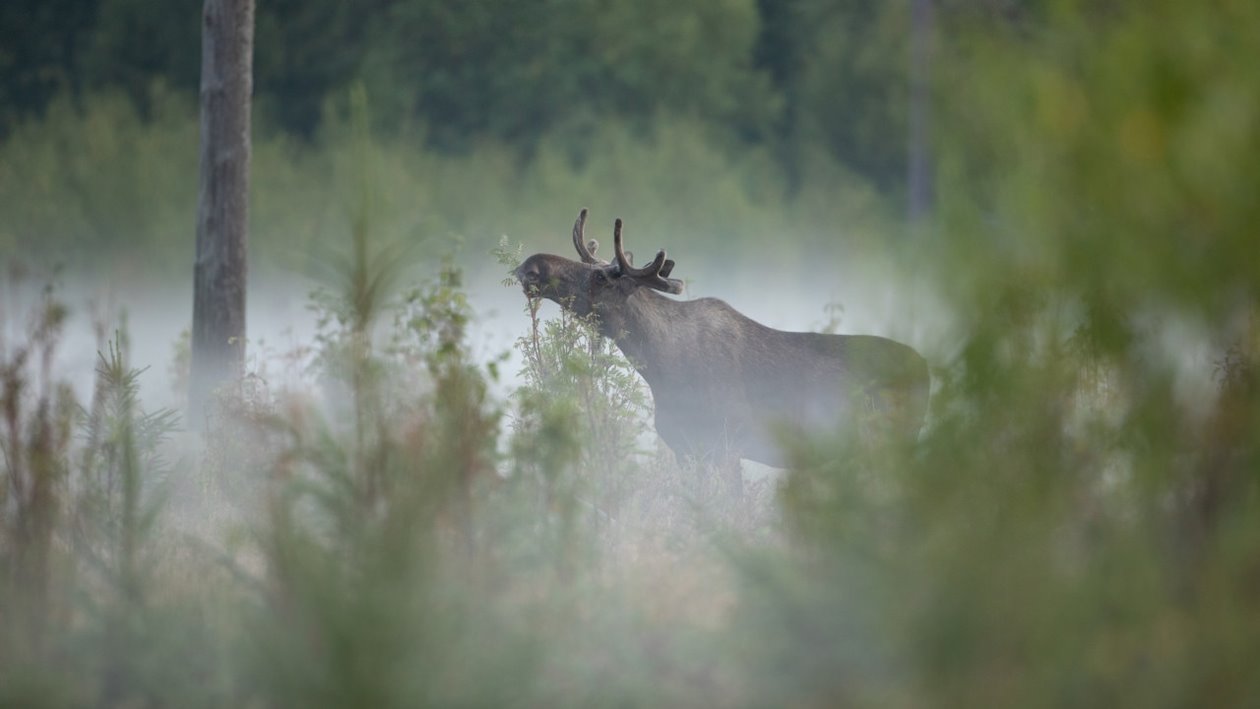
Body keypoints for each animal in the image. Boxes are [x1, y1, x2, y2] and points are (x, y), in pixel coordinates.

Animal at [514, 209, 937, 465]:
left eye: (601, 277)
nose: (530, 266)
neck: (660, 365)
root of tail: (927, 369)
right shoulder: (686, 448)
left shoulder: (727, 443)